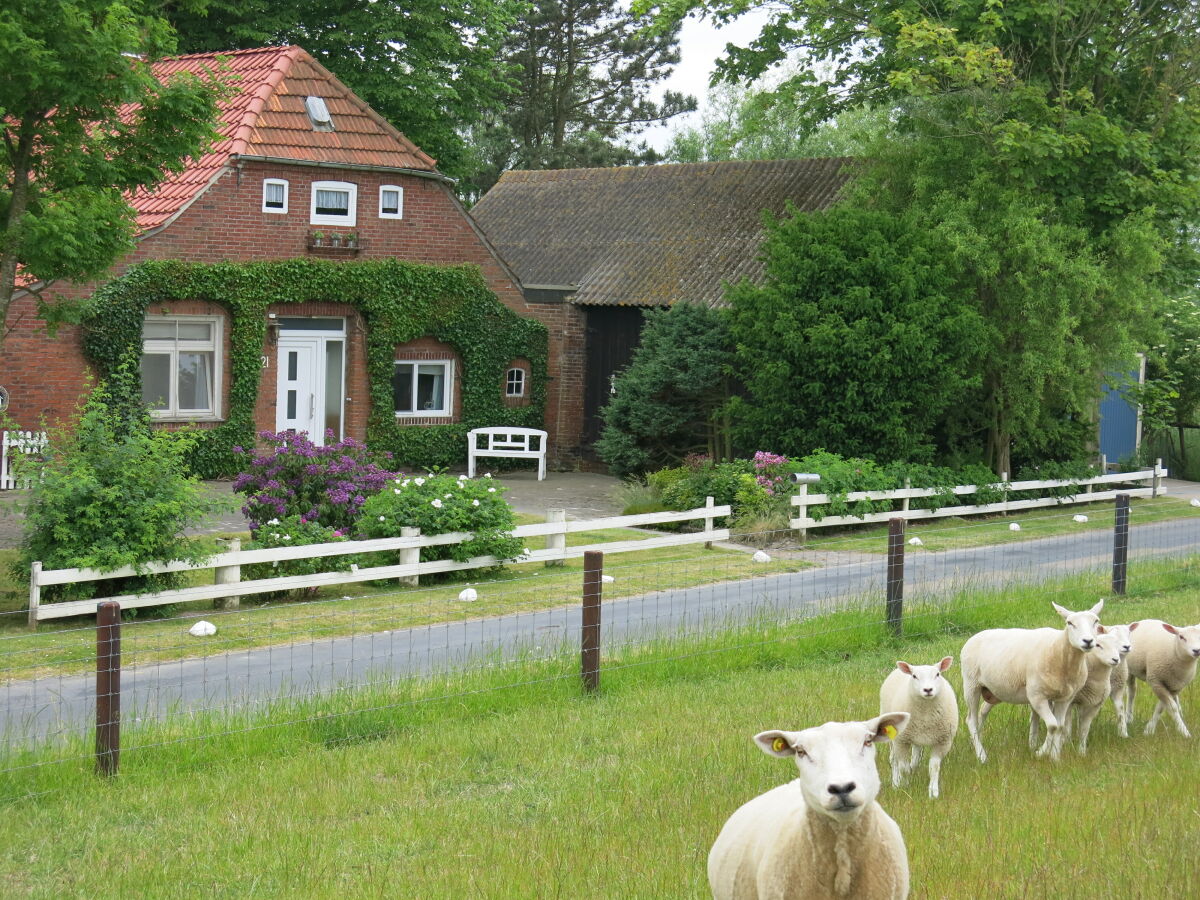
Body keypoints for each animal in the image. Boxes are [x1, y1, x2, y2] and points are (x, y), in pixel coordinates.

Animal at [878, 657, 960, 801]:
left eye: (937, 674)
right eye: (914, 676)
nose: (928, 689)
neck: (926, 714)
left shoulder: (943, 741)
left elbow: (934, 767)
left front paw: (933, 792)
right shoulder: (901, 740)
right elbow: (904, 767)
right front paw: (905, 783)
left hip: (917, 737)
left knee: (916, 756)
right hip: (892, 732)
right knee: (893, 759)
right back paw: (896, 782)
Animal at [955, 602, 1104, 763]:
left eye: (1096, 621)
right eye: (1069, 623)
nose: (1088, 641)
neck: (1059, 652)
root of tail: (974, 637)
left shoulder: (1065, 699)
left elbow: (1060, 726)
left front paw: (1055, 758)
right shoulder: (1036, 696)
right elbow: (1053, 725)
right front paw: (1040, 752)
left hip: (994, 690)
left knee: (982, 712)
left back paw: (974, 744)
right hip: (971, 685)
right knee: (971, 720)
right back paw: (982, 756)